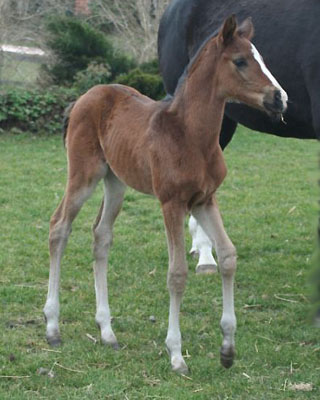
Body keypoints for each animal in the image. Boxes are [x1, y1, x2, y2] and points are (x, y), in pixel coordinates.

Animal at [43, 14, 288, 372]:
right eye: (241, 61)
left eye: (262, 58)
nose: (279, 98)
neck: (191, 136)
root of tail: (83, 98)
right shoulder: (171, 203)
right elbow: (177, 273)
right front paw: (176, 354)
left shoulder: (205, 200)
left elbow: (228, 256)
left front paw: (227, 349)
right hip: (83, 175)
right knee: (59, 226)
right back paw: (52, 327)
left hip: (115, 181)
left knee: (101, 235)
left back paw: (107, 331)